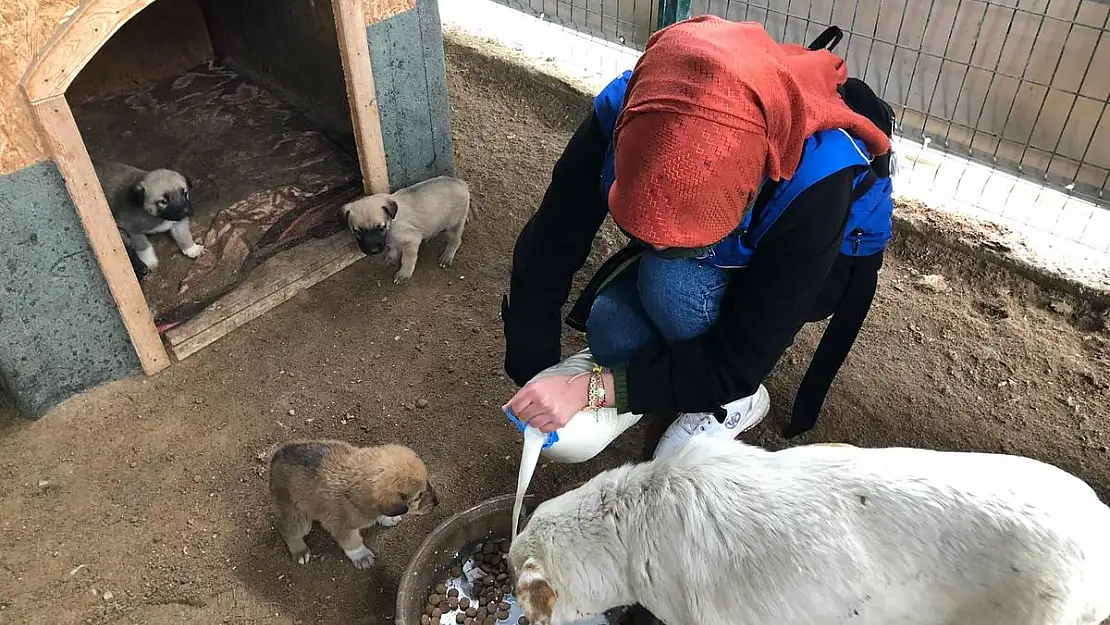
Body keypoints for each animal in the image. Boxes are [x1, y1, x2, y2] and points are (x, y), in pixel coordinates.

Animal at [267, 439, 437, 568]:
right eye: (418, 497)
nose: (437, 502)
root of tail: (277, 455)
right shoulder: (340, 527)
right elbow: (353, 542)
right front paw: (361, 557)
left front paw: (387, 518)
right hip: (298, 516)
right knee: (285, 529)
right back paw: (300, 551)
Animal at [337, 175, 468, 284]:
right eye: (357, 231)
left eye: (381, 228)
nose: (373, 251)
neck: (391, 222)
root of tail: (462, 183)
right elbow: (394, 247)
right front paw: (392, 256)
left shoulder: (411, 241)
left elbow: (407, 260)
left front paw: (403, 274)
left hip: (454, 224)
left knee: (455, 241)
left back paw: (447, 257)